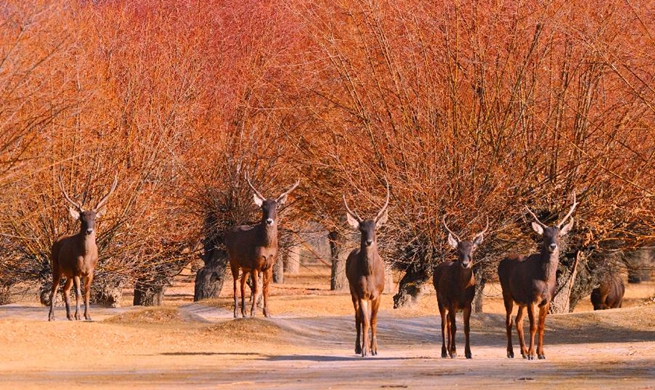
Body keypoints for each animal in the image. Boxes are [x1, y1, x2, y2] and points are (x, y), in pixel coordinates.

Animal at [48, 175, 118, 322]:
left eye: (95, 219)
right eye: (82, 219)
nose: (89, 230)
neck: (86, 257)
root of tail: (56, 240)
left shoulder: (90, 271)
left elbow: (87, 294)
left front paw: (88, 316)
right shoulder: (76, 270)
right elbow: (78, 294)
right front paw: (79, 315)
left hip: (67, 273)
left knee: (65, 289)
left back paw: (69, 316)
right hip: (56, 266)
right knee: (54, 290)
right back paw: (51, 316)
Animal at [224, 175, 298, 318]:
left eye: (276, 207)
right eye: (263, 208)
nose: (269, 221)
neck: (266, 246)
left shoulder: (269, 265)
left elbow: (266, 288)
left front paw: (266, 312)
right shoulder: (255, 264)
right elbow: (256, 288)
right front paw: (253, 312)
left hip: (245, 266)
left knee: (242, 284)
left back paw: (244, 312)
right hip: (233, 260)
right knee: (235, 284)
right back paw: (236, 313)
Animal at [344, 180, 390, 356]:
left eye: (374, 228)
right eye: (362, 229)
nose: (369, 241)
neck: (370, 274)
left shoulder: (378, 293)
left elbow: (373, 320)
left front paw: (375, 349)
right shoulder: (361, 293)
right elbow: (364, 320)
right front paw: (364, 349)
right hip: (352, 290)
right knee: (357, 317)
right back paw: (358, 347)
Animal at [434, 216, 490, 360]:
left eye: (473, 249)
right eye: (458, 251)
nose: (465, 264)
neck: (461, 289)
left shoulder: (468, 303)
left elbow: (466, 327)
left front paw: (468, 353)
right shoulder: (451, 301)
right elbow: (454, 327)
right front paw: (454, 352)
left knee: (448, 321)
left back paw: (448, 350)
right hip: (440, 300)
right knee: (443, 324)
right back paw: (444, 351)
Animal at [500, 192, 576, 360]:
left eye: (559, 235)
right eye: (545, 236)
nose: (553, 246)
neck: (544, 279)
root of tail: (501, 261)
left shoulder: (546, 300)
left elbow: (541, 326)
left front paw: (541, 353)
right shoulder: (531, 298)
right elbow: (533, 326)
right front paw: (532, 354)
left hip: (521, 300)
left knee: (518, 320)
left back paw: (522, 351)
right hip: (507, 293)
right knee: (508, 320)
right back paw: (511, 352)